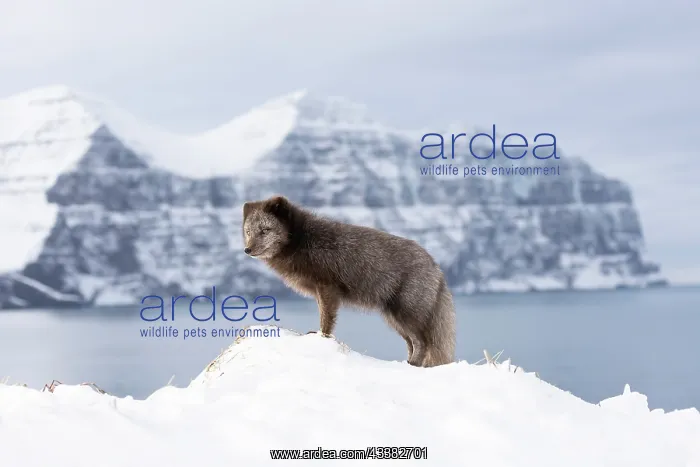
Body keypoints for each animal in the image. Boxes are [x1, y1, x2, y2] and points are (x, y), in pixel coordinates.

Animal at [241, 195, 456, 367]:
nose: (247, 250)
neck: (302, 240)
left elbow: (327, 319)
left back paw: (413, 364)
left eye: (265, 230)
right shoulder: (319, 291)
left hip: (406, 313)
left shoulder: (327, 288)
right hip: (394, 319)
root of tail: (436, 267)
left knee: (422, 342)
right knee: (412, 343)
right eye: (248, 231)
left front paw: (322, 337)